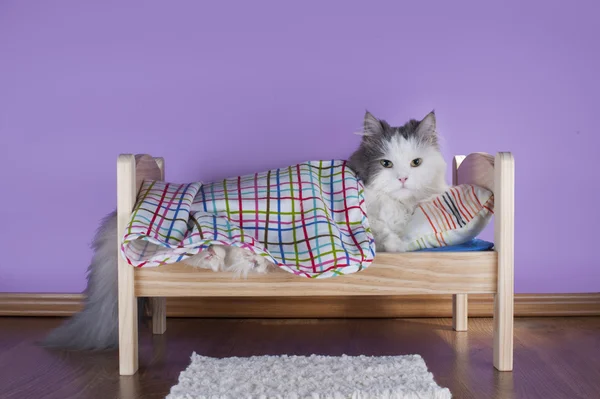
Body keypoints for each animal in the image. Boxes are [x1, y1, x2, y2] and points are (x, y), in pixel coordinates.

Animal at [41, 109, 446, 350]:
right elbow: (386, 236)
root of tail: (143, 191)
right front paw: (401, 240)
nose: (403, 178)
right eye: (386, 164)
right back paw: (229, 258)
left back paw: (243, 260)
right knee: (174, 249)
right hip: (194, 222)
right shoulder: (367, 224)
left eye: (415, 162)